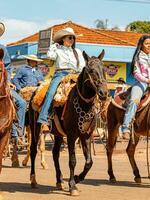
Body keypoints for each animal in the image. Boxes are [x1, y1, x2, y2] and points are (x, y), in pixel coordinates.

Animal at [29, 50, 108, 195]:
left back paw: (59, 181)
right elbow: (72, 160)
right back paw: (33, 180)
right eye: (91, 70)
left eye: (104, 69)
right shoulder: (72, 136)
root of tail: (35, 92)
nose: (103, 93)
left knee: (55, 153)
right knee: (33, 150)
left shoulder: (86, 136)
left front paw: (77, 178)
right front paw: (72, 186)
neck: (83, 105)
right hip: (35, 128)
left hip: (58, 134)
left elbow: (89, 162)